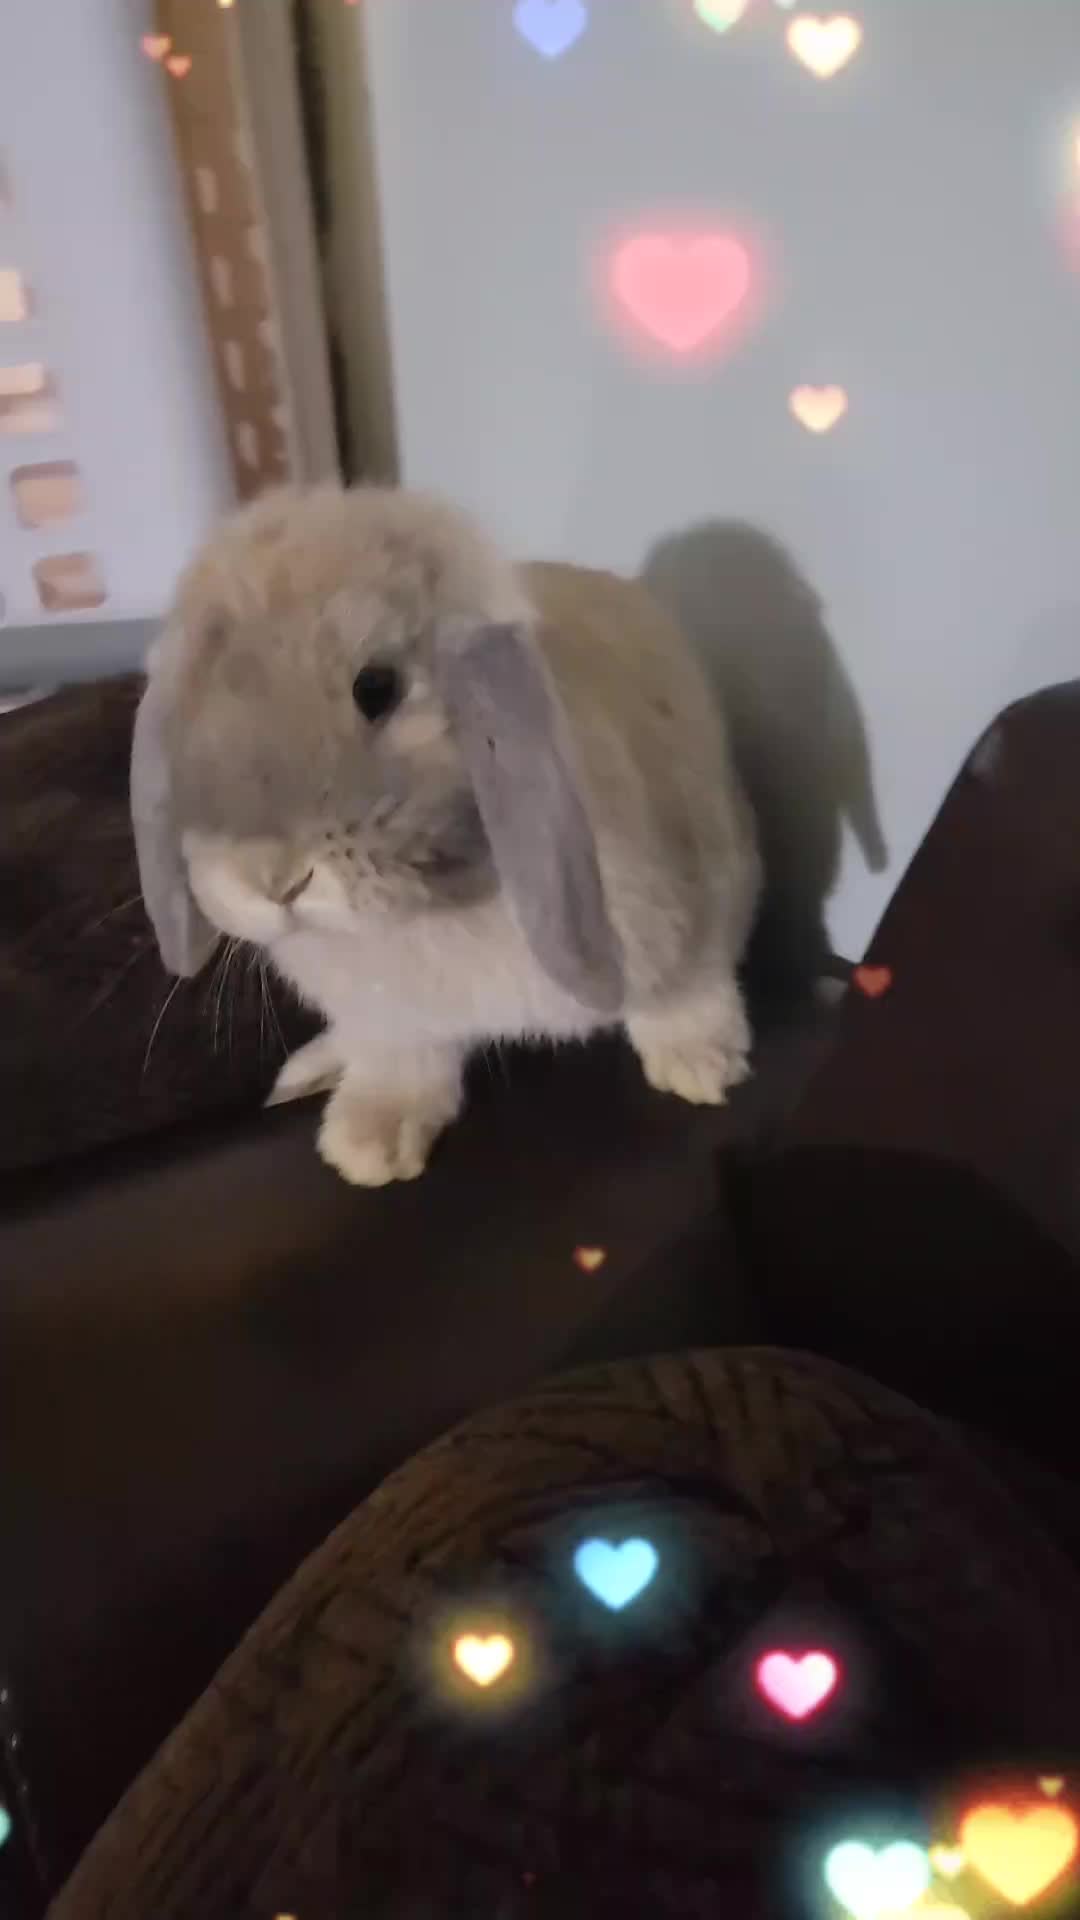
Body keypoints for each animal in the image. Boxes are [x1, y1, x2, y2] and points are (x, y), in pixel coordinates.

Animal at [131, 483, 762, 1186]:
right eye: (186, 722)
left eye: (377, 687)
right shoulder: (395, 1024)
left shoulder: (696, 911)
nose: (271, 879)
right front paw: (367, 1146)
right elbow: (401, 1064)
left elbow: (687, 992)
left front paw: (701, 1066)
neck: (427, 908)